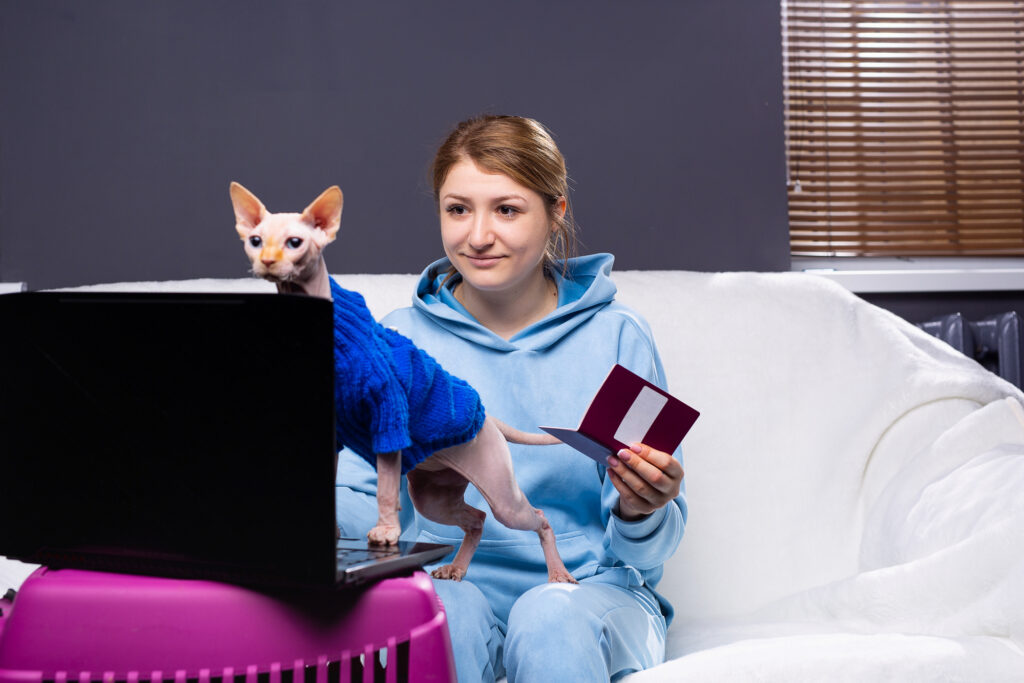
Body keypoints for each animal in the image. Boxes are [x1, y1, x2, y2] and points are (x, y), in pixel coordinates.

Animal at [231, 180, 577, 581]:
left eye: (294, 242)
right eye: (255, 240)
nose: (268, 261)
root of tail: (488, 416)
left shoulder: (388, 418)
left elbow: (383, 488)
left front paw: (385, 532)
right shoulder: (334, 434)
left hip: (502, 492)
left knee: (537, 517)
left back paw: (557, 573)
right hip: (434, 494)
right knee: (476, 518)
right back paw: (456, 567)